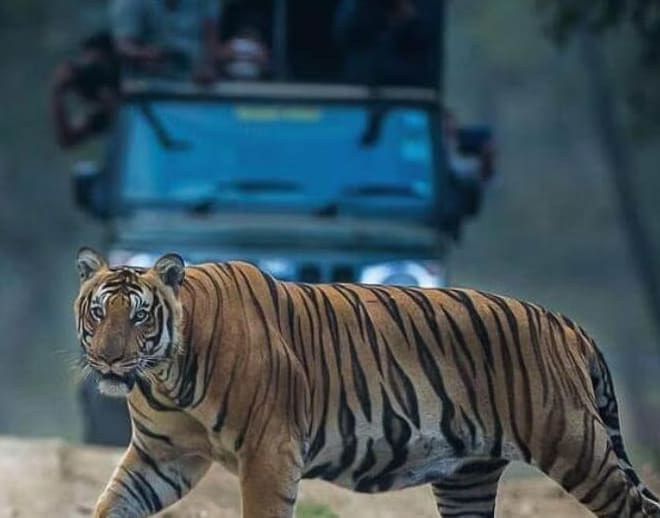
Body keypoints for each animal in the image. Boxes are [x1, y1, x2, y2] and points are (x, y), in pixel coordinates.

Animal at [73, 249, 660, 518]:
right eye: (99, 312)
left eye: (140, 316)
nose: (108, 358)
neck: (165, 379)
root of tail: (567, 323)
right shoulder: (162, 458)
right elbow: (112, 504)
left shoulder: (269, 452)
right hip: (467, 479)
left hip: (575, 448)